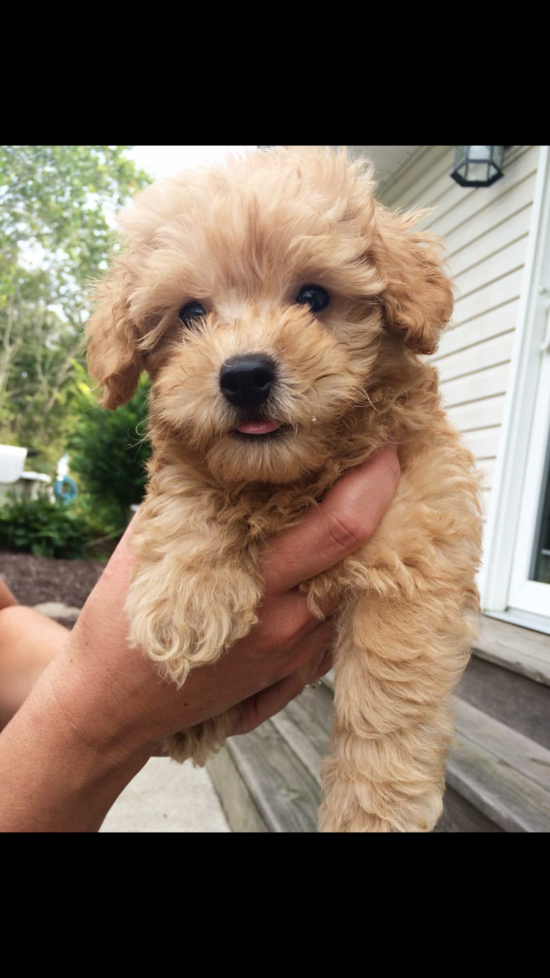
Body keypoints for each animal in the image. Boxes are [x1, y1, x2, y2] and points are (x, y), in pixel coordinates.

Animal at [86, 147, 484, 832]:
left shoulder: (418, 532)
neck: (289, 479)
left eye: (314, 296)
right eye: (192, 313)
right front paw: (185, 601)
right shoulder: (188, 465)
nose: (244, 375)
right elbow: (187, 490)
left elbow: (391, 681)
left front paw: (373, 808)